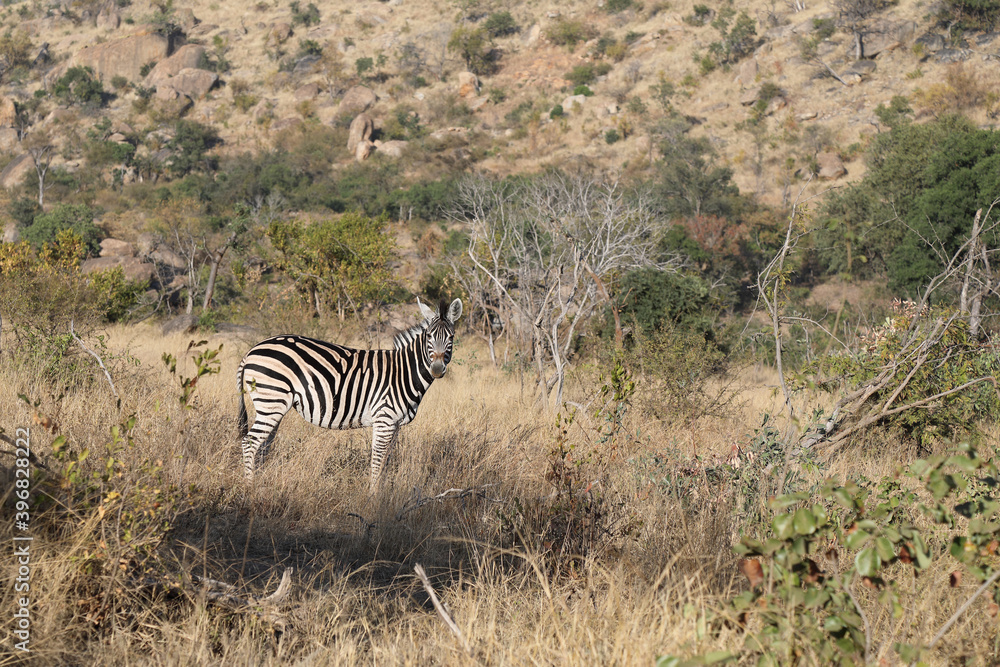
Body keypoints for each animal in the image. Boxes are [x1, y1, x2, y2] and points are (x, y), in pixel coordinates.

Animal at [236, 298, 462, 489]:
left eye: (451, 337)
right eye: (429, 336)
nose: (437, 369)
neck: (404, 372)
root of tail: (251, 350)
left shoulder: (395, 424)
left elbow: (386, 461)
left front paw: (382, 495)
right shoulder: (384, 419)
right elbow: (377, 461)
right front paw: (374, 498)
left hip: (273, 405)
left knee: (263, 446)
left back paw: (261, 482)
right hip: (271, 400)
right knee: (249, 443)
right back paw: (250, 488)